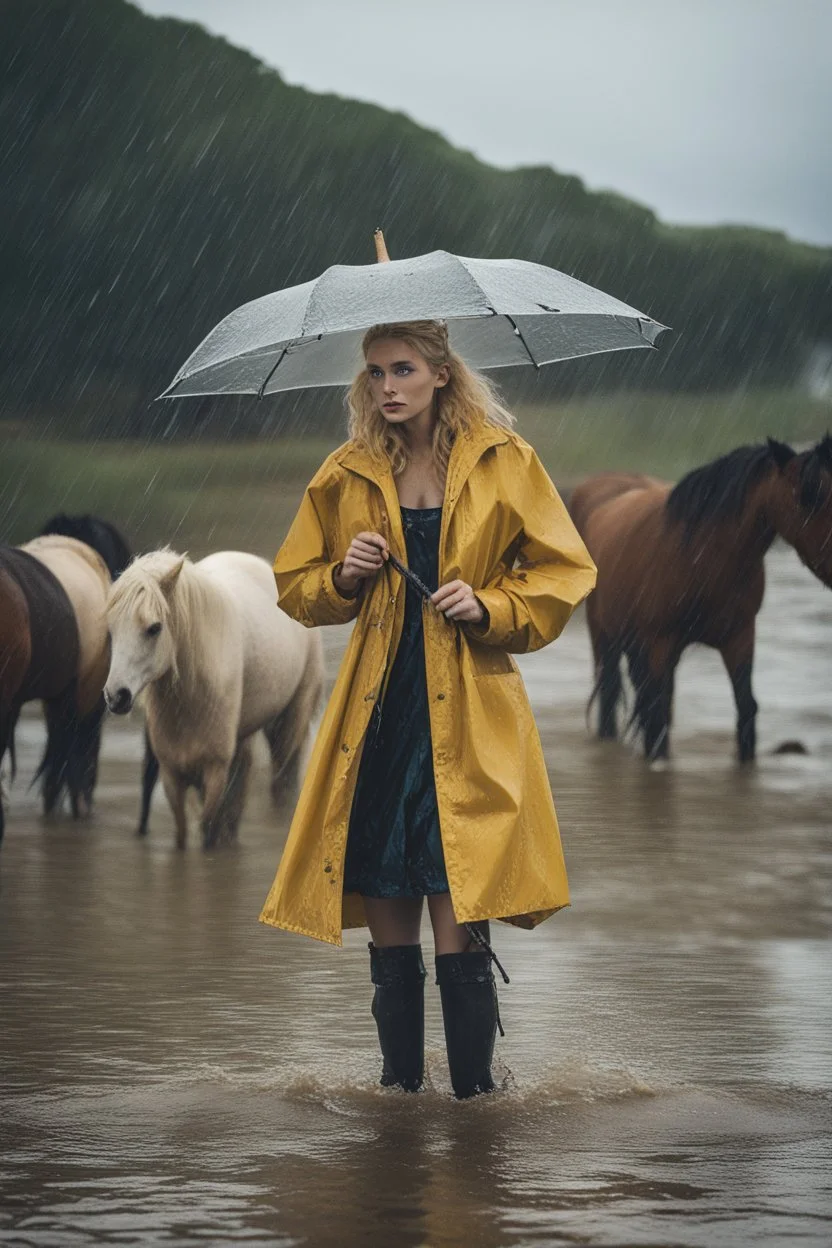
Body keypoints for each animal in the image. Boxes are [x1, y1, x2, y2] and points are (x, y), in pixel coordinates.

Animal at [103, 549, 321, 848]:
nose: (116, 696)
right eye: (111, 629)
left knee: (283, 776)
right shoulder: (172, 773)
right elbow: (183, 833)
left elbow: (208, 828)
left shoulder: (215, 769)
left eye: (154, 628)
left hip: (289, 719)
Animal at [568, 439, 832, 768]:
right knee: (611, 696)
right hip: (605, 636)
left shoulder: (739, 637)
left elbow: (746, 708)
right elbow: (657, 717)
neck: (700, 554)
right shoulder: (660, 642)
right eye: (809, 496)